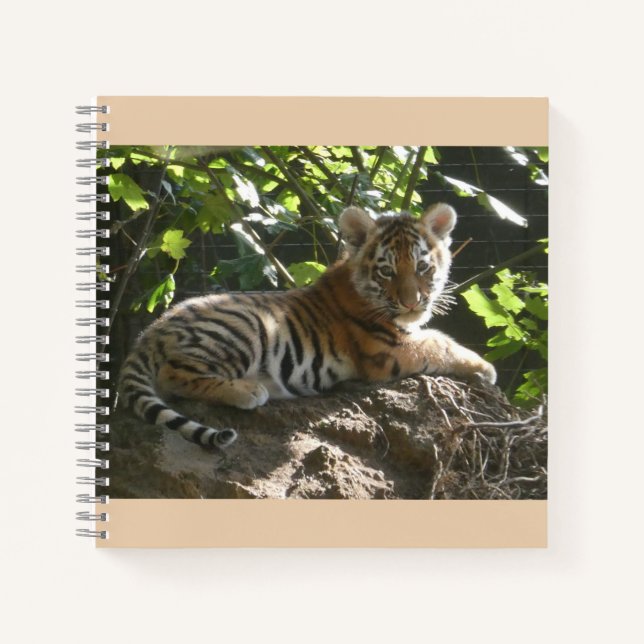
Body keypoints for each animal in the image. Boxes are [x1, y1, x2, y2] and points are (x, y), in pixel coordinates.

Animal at [118, 203, 496, 449]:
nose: (411, 302)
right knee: (173, 375)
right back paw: (248, 390)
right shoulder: (388, 350)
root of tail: (149, 333)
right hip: (247, 325)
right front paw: (485, 368)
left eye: (422, 267)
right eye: (386, 271)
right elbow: (441, 342)